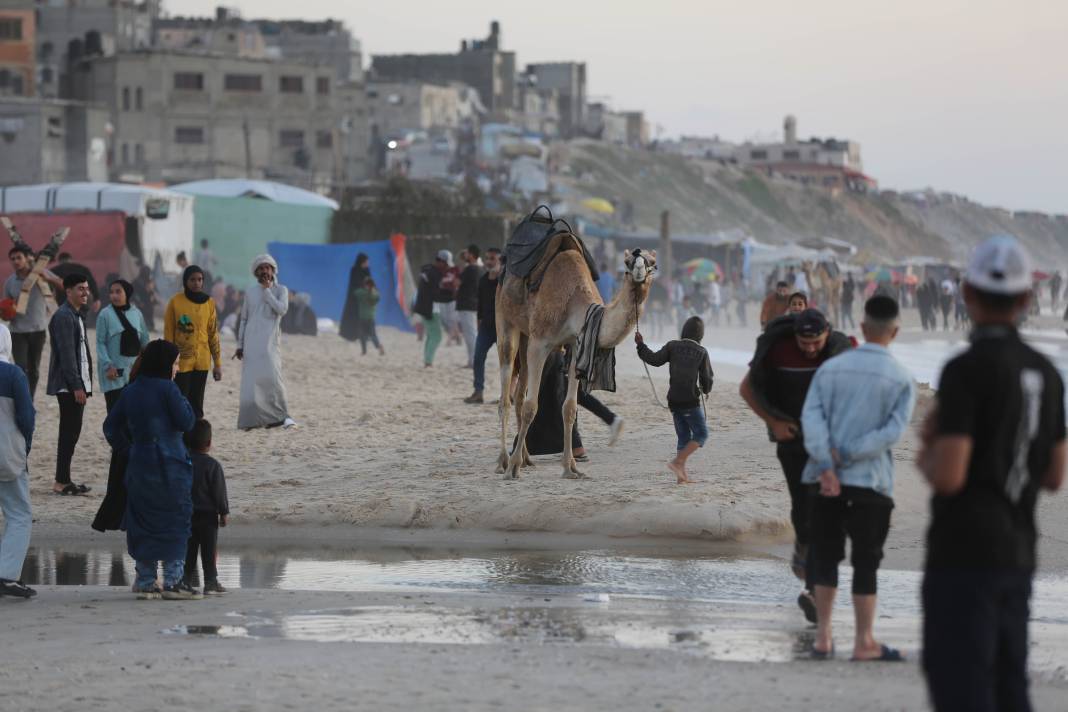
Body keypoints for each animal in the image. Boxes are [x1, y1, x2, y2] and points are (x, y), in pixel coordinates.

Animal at [495, 242, 653, 482]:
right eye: (627, 262)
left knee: (519, 395)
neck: (575, 304)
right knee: (505, 396)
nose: (639, 272)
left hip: (525, 336)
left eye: (652, 262)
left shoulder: (577, 346)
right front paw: (513, 468)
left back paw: (527, 458)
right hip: (505, 320)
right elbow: (532, 406)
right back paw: (504, 461)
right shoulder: (540, 342)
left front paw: (571, 468)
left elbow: (569, 407)